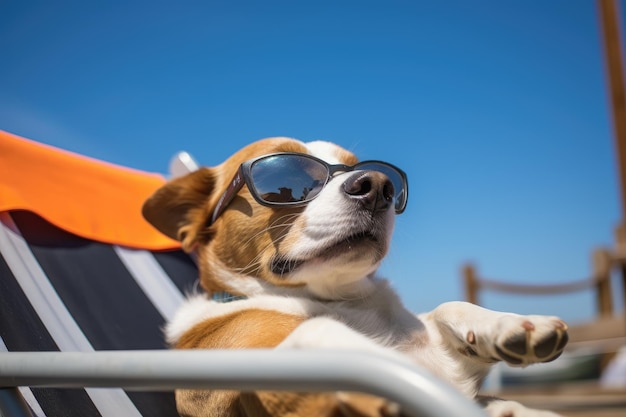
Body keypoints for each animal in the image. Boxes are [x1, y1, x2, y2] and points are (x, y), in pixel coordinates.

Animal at [143, 137, 572, 416]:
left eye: (373, 171)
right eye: (287, 178)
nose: (378, 186)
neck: (338, 299)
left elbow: (447, 308)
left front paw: (510, 325)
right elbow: (320, 331)